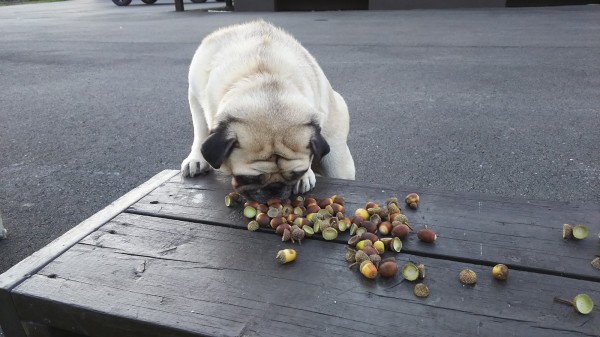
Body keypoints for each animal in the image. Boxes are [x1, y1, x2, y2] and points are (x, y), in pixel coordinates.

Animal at [180, 19, 354, 201]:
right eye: (249, 178)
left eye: (297, 174)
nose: (275, 188)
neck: (263, 76)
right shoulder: (195, 95)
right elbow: (200, 131)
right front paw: (196, 159)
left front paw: (306, 177)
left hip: (338, 161)